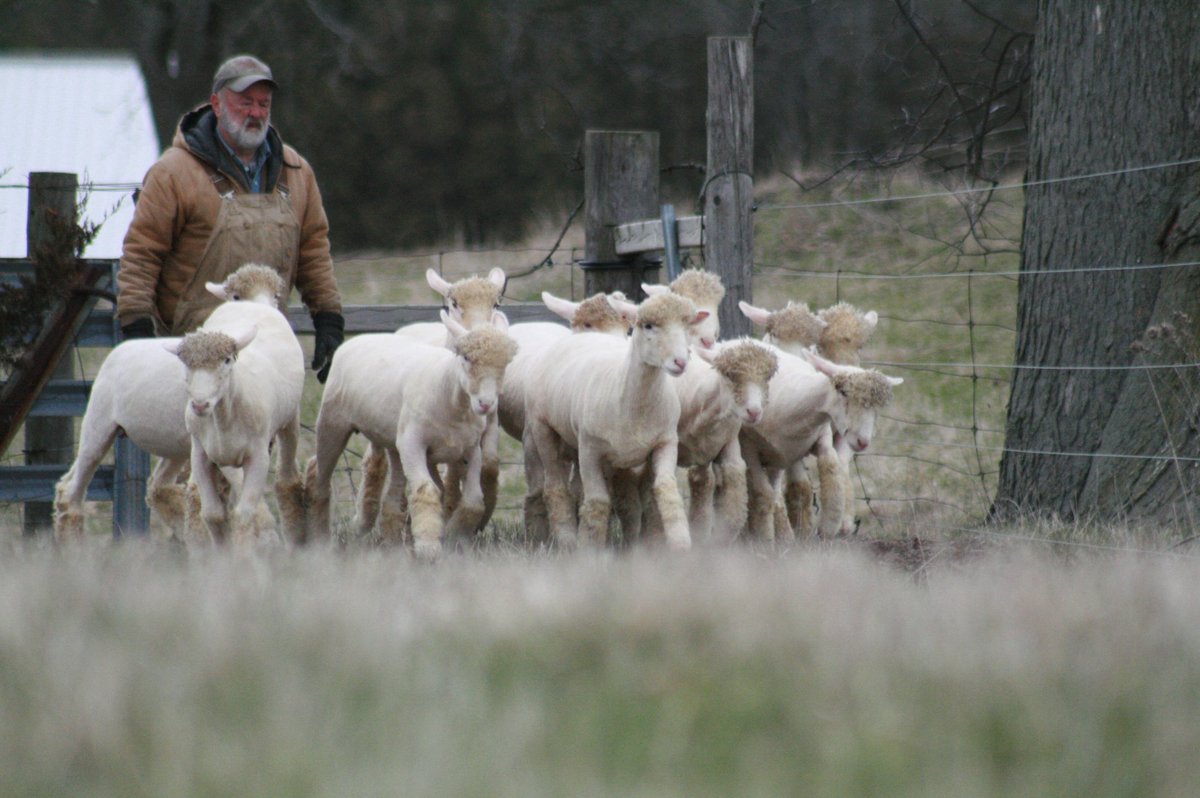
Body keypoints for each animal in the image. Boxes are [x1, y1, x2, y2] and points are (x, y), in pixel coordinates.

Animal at [53, 263, 286, 543]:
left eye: (276, 296)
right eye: (236, 297)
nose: (267, 316)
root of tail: (120, 348)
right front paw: (267, 534)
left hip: (174, 446)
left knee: (155, 485)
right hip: (98, 424)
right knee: (72, 489)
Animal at [163, 270, 306, 548]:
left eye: (227, 360)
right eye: (185, 364)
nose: (200, 404)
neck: (223, 416)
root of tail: (255, 304)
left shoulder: (258, 455)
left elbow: (243, 515)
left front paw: (244, 556)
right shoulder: (201, 454)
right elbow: (213, 514)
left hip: (289, 421)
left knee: (287, 480)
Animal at [304, 313, 518, 558]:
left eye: (505, 364)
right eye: (466, 358)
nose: (486, 404)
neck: (450, 396)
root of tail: (360, 338)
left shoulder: (470, 449)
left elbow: (473, 500)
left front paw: (454, 536)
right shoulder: (413, 443)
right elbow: (427, 490)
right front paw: (428, 548)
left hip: (393, 440)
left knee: (393, 497)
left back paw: (393, 545)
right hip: (333, 421)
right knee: (320, 475)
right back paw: (319, 538)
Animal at [524, 292, 709, 550]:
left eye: (687, 326)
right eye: (648, 325)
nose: (681, 361)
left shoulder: (665, 443)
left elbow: (665, 490)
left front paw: (679, 544)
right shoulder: (589, 450)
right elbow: (597, 501)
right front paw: (588, 550)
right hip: (542, 428)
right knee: (554, 487)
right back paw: (568, 540)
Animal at [738, 347, 901, 541]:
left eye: (878, 408)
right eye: (843, 392)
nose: (863, 442)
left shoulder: (811, 442)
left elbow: (829, 469)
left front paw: (827, 526)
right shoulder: (750, 448)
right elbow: (765, 492)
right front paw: (773, 536)